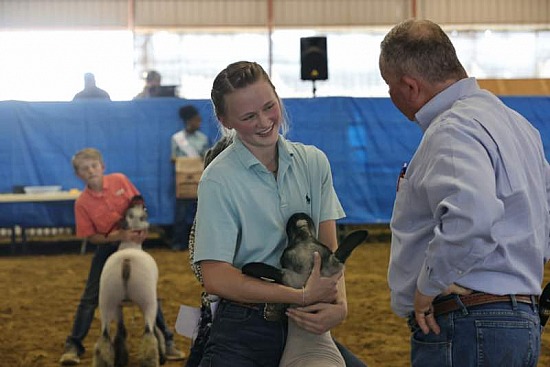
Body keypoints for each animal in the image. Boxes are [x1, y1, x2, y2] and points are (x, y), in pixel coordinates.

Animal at [92, 197, 166, 367]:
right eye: (145, 209)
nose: (136, 198)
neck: (130, 245)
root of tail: (126, 261)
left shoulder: (119, 305)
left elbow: (121, 331)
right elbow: (156, 329)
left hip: (107, 301)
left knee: (104, 339)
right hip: (148, 300)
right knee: (149, 335)